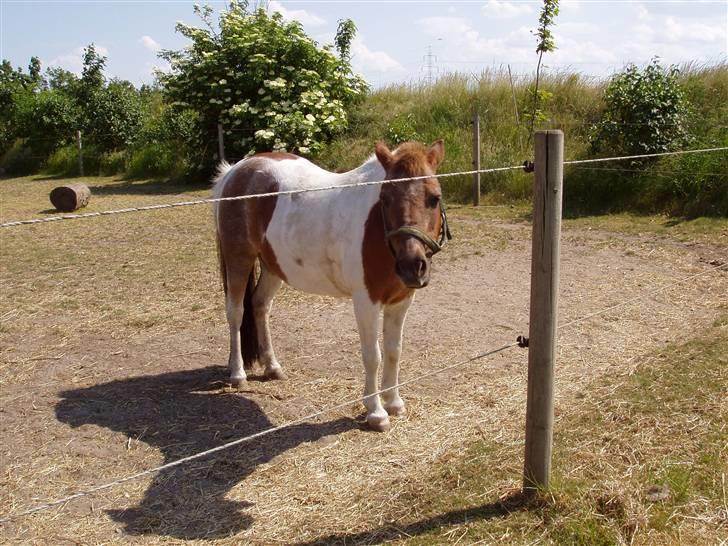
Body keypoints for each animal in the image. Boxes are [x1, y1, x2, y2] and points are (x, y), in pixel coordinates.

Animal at [212, 140, 450, 430]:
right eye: (385, 198)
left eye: (434, 198)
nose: (411, 265)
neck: (378, 230)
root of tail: (235, 171)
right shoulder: (366, 301)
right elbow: (373, 356)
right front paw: (376, 412)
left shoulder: (400, 301)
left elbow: (394, 351)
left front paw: (394, 403)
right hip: (239, 258)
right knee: (236, 313)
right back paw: (238, 373)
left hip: (272, 266)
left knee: (260, 306)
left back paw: (272, 367)